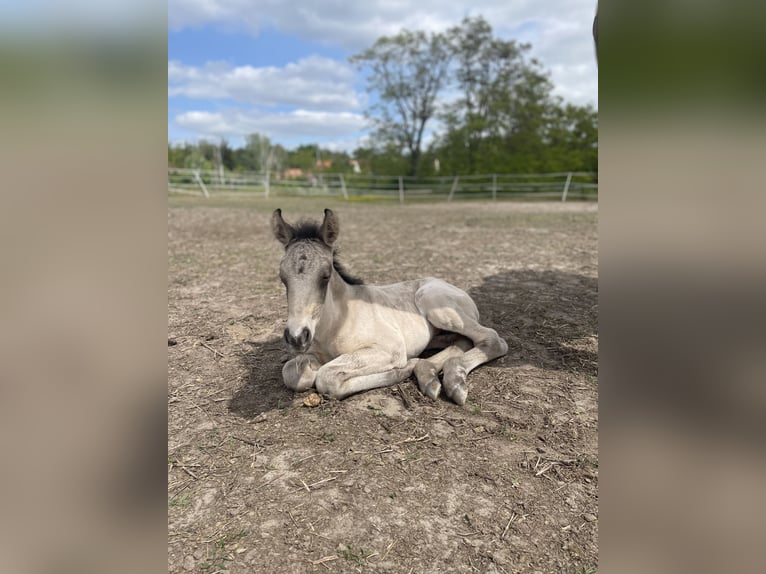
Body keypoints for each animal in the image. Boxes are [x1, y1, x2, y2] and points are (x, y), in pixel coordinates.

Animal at [272, 209, 508, 408]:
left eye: (325, 276)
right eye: (282, 277)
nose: (296, 337)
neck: (336, 324)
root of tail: (453, 286)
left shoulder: (390, 348)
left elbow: (326, 377)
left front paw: (404, 368)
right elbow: (291, 373)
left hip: (436, 305)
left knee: (492, 339)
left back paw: (452, 380)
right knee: (459, 340)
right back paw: (428, 374)